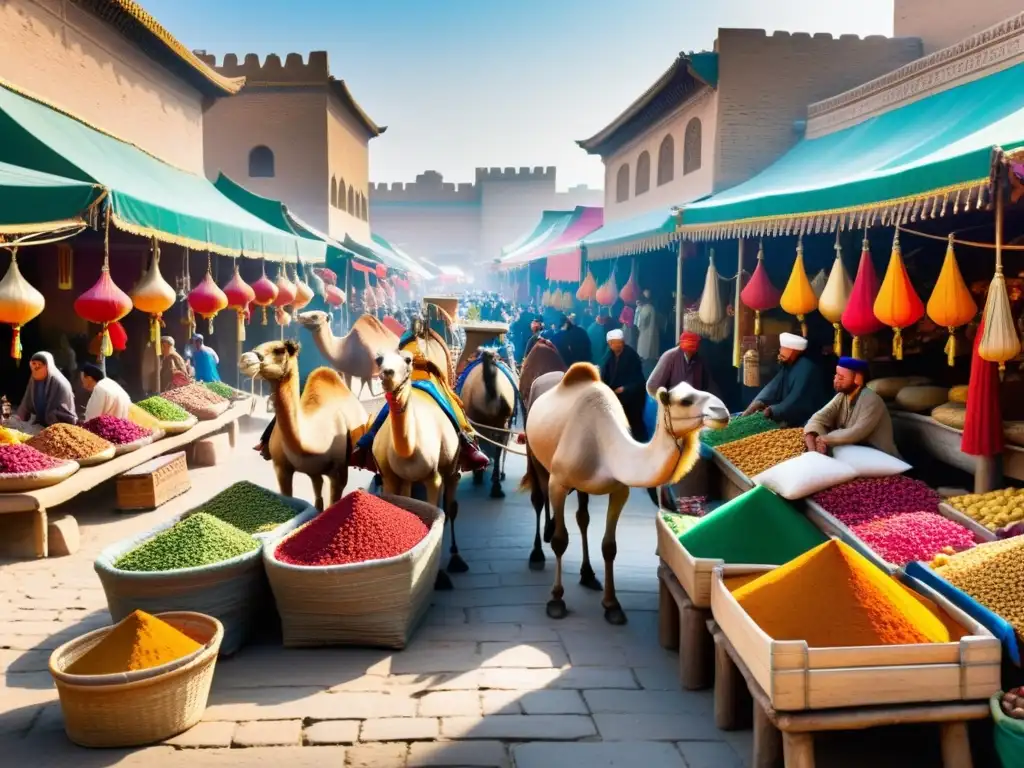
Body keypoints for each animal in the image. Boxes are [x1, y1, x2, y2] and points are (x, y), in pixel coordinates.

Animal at [239, 342, 368, 512]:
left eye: (279, 350)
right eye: (256, 347)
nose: (245, 359)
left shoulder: (339, 473)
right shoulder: (282, 468)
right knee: (318, 488)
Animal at [374, 348, 466, 577]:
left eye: (407, 360)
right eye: (378, 359)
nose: (387, 373)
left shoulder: (433, 478)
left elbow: (437, 516)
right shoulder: (389, 477)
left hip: (452, 468)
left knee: (451, 507)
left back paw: (456, 558)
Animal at [524, 364, 733, 626]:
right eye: (685, 400)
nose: (722, 410)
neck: (607, 450)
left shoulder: (619, 490)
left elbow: (609, 546)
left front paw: (612, 605)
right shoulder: (559, 482)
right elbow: (560, 541)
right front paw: (556, 600)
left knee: (582, 517)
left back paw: (588, 574)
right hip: (532, 452)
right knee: (538, 499)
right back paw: (537, 554)